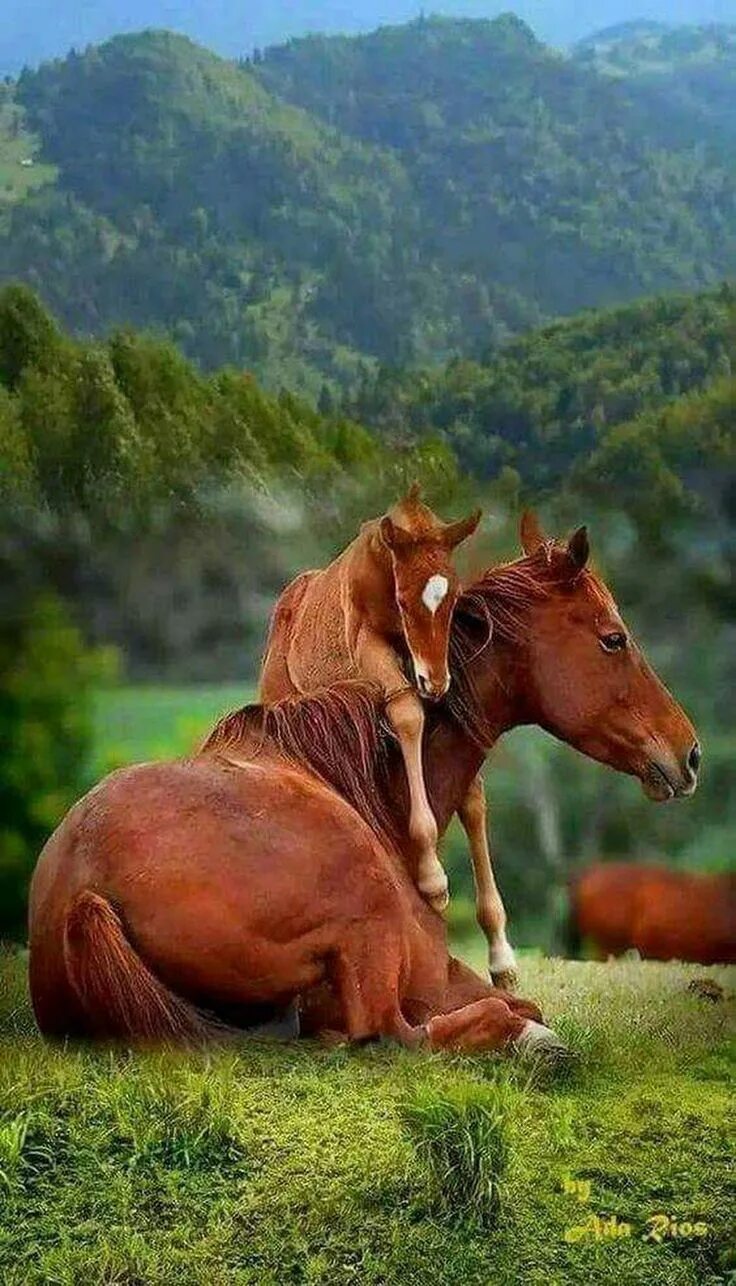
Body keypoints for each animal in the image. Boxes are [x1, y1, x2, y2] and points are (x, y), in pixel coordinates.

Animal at [27, 516, 694, 1049]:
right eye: (614, 639)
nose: (689, 753)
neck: (373, 793)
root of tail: (82, 895)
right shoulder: (428, 970)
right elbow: (501, 1004)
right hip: (369, 916)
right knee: (396, 1033)